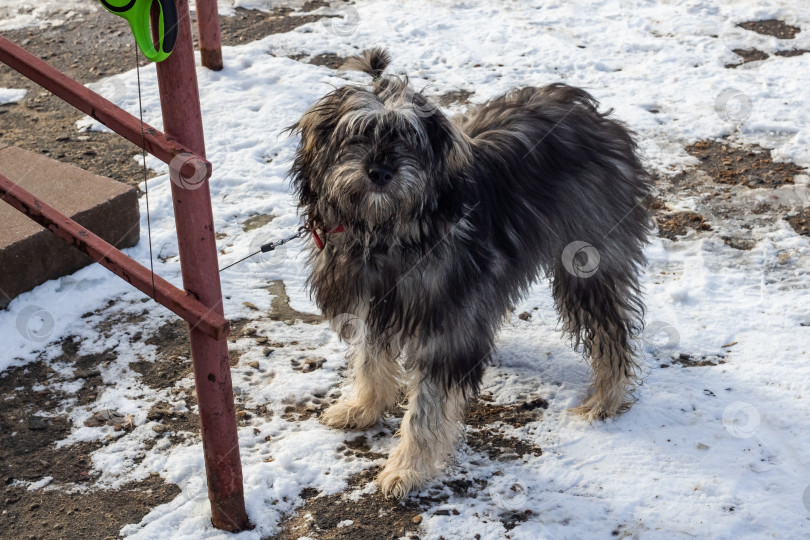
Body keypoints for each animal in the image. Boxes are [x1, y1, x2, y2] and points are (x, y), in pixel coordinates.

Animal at [288, 48, 648, 496]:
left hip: (588, 260)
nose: (380, 172)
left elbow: (425, 408)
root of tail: (596, 116)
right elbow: (370, 361)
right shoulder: (370, 304)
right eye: (357, 135)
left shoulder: (443, 328)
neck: (387, 233)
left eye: (407, 139)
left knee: (611, 331)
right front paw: (364, 407)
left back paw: (605, 399)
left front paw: (407, 468)